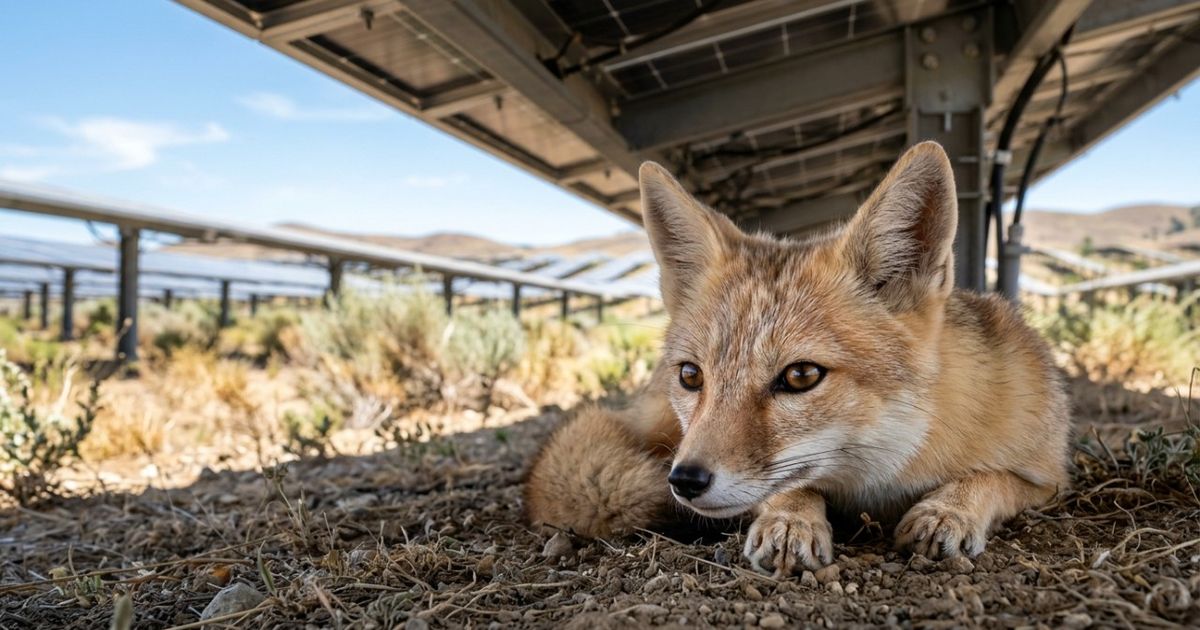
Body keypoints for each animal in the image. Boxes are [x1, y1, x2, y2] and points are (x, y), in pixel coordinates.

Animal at [524, 142, 1070, 576]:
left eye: (801, 375)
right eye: (691, 376)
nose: (684, 481)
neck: (890, 474)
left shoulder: (1050, 478)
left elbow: (993, 479)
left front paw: (950, 510)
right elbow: (792, 485)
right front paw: (790, 518)